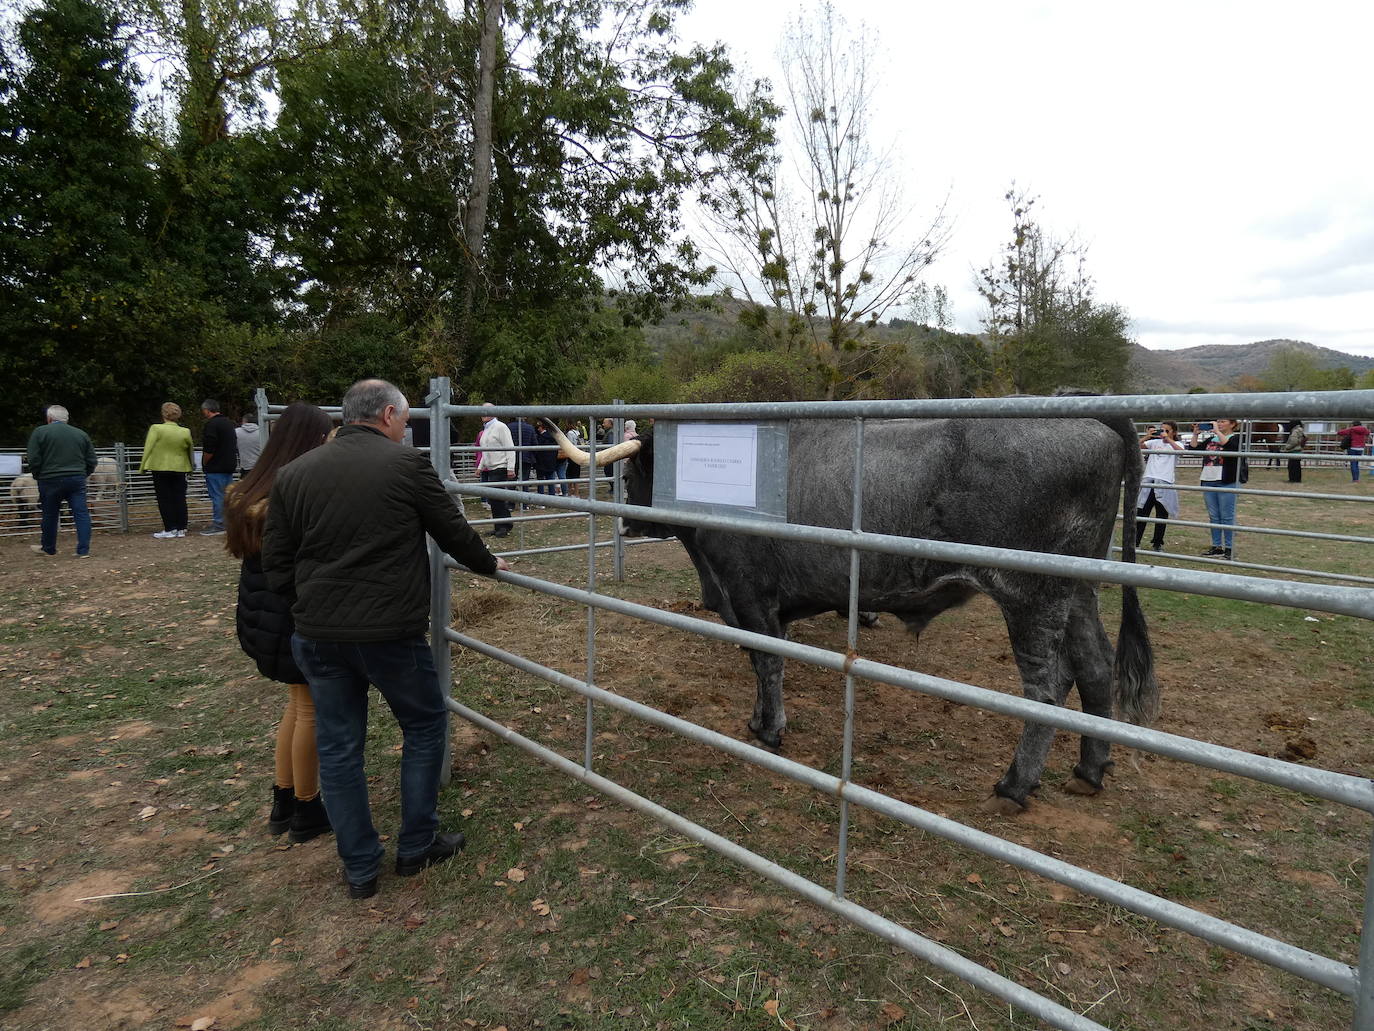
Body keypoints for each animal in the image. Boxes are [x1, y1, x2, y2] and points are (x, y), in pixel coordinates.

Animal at [549, 415, 1159, 813]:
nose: (627, 523)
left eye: (636, 473)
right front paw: (758, 719)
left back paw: (1014, 785)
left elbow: (767, 661)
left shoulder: (749, 594)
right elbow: (761, 662)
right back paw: (1089, 770)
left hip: (1031, 596)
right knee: (1094, 665)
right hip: (1077, 593)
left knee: (1048, 689)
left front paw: (770, 730)